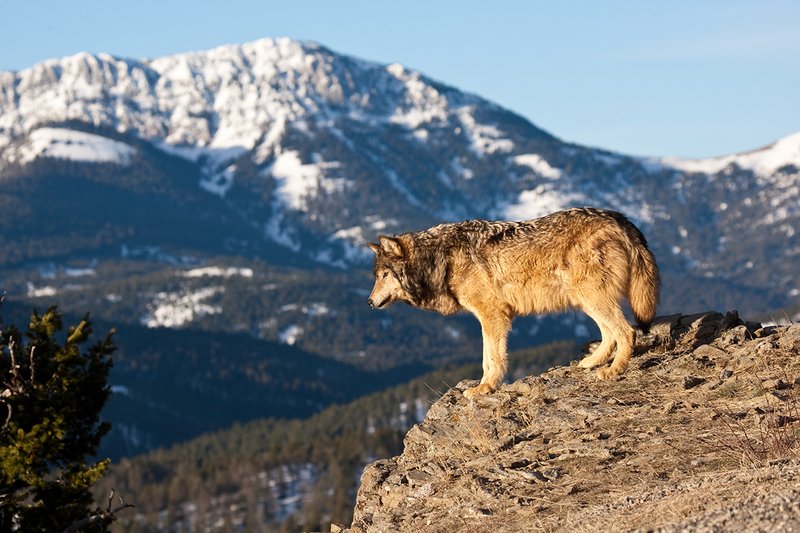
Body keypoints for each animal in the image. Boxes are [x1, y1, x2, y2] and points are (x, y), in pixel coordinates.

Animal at [368, 207, 660, 397]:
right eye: (376, 276)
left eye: (384, 275)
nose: (369, 303)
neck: (442, 259)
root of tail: (619, 219)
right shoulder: (489, 317)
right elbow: (487, 357)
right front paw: (485, 387)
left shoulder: (492, 315)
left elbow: (491, 358)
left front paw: (485, 387)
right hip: (586, 300)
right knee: (609, 333)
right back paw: (592, 363)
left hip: (592, 297)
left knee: (627, 331)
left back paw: (613, 371)